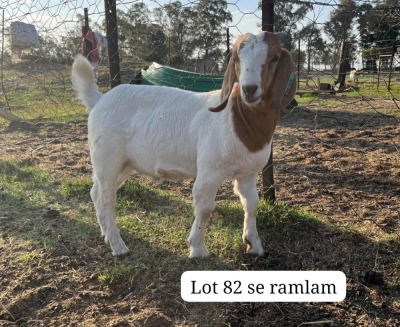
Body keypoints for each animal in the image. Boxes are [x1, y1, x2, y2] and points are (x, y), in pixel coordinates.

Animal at [72, 32, 296, 260]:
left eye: (274, 58)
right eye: (236, 59)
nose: (249, 89)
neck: (237, 117)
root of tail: (99, 100)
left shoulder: (248, 173)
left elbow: (251, 203)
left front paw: (254, 244)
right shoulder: (209, 171)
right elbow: (205, 207)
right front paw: (197, 249)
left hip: (125, 163)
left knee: (97, 193)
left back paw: (107, 236)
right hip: (107, 157)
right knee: (106, 197)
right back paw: (118, 246)